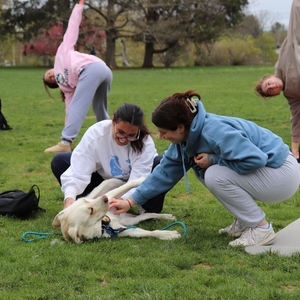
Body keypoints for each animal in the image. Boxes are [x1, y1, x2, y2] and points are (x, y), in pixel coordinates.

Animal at [51, 176, 180, 244]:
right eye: (91, 211)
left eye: (85, 201)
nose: (105, 198)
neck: (104, 223)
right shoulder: (126, 231)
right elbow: (151, 232)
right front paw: (168, 234)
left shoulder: (111, 196)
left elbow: (129, 184)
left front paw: (141, 180)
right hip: (129, 221)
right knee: (144, 216)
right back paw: (166, 217)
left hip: (106, 188)